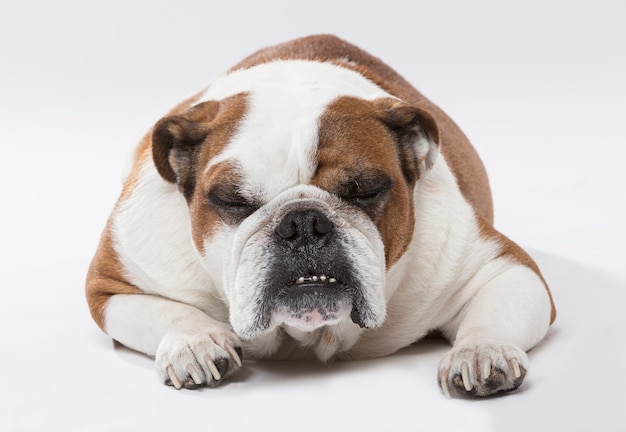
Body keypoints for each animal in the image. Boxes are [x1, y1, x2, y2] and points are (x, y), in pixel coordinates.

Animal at [84, 34, 556, 398]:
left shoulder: (499, 267)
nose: (303, 223)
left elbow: (492, 314)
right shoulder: (114, 283)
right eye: (233, 200)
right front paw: (196, 342)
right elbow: (171, 312)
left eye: (366, 190)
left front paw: (480, 352)